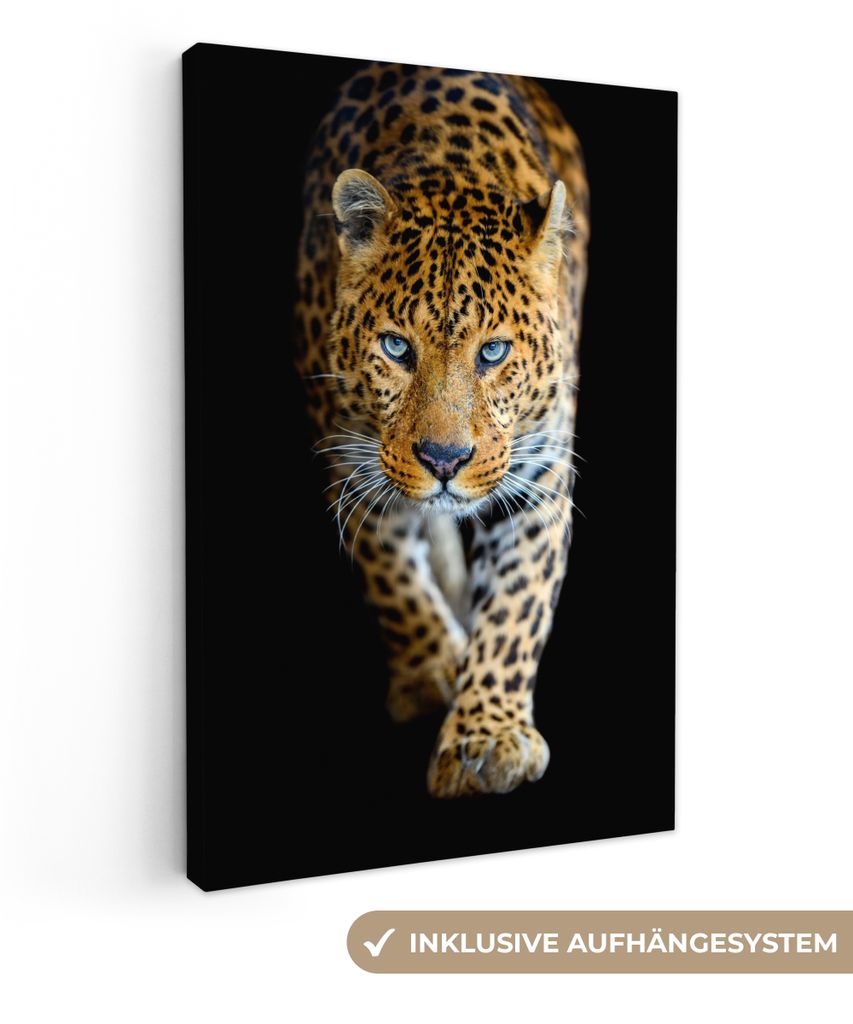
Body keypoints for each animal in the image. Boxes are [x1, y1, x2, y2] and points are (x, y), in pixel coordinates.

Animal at [294, 62, 589, 797]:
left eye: (493, 353)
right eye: (397, 348)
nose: (445, 460)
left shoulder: (541, 476)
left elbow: (516, 607)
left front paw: (487, 736)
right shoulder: (348, 457)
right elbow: (389, 573)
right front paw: (431, 672)